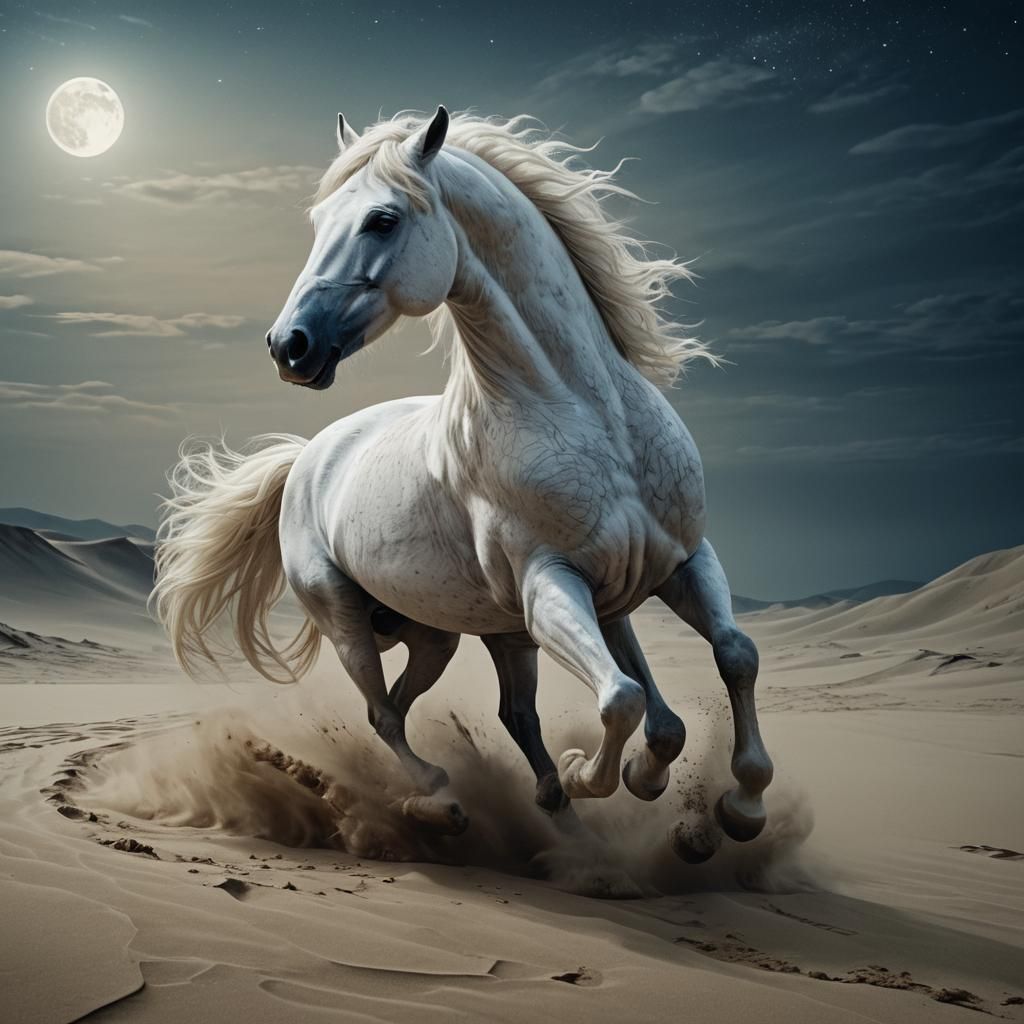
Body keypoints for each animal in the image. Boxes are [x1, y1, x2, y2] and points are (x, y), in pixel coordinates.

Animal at [153, 107, 774, 859]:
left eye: (382, 220)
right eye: (319, 220)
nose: (288, 346)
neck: (592, 418)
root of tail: (306, 457)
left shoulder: (676, 563)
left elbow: (729, 660)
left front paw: (737, 806)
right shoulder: (550, 587)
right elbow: (621, 699)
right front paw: (600, 771)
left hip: (453, 635)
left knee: (478, 710)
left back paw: (556, 820)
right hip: (348, 618)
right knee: (385, 714)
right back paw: (442, 802)